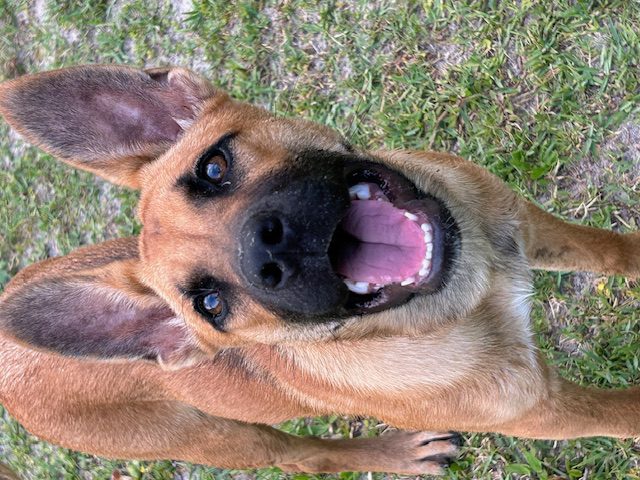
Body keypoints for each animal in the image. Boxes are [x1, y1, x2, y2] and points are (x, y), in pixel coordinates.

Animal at [0, 64, 636, 476]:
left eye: (214, 167)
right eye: (211, 304)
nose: (268, 251)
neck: (460, 299)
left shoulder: (528, 226)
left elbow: (615, 251)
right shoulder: (543, 410)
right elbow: (627, 411)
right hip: (218, 437)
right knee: (302, 456)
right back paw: (397, 456)